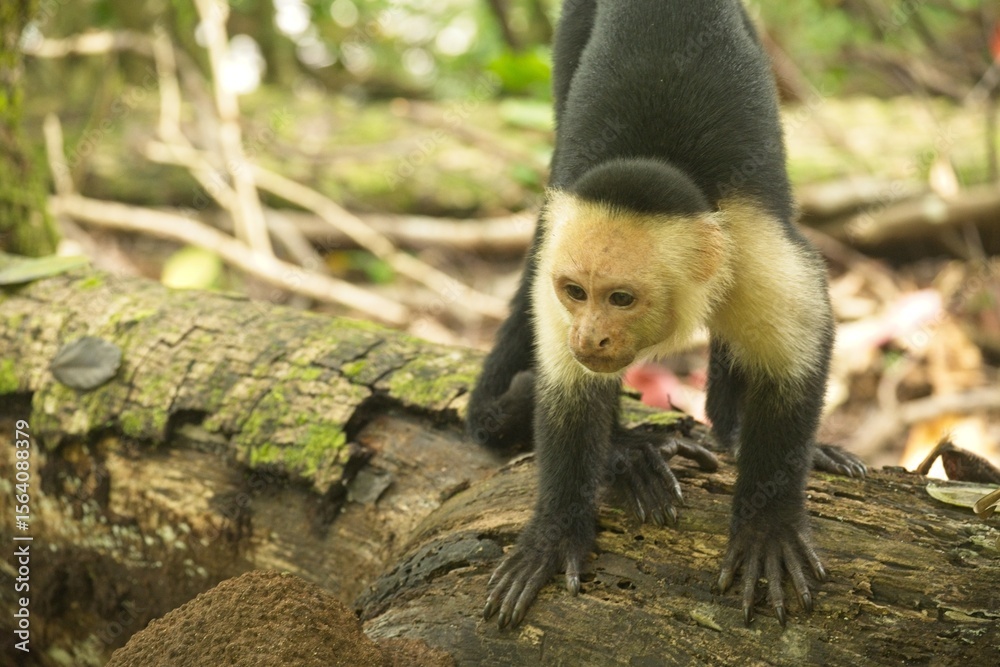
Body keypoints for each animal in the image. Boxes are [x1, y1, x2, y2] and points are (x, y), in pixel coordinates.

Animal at [466, 0, 865, 629]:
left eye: (621, 299)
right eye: (576, 292)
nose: (591, 336)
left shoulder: (754, 256)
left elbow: (796, 361)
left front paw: (767, 525)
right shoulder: (554, 272)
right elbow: (568, 391)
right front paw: (556, 531)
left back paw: (730, 428)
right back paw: (628, 454)